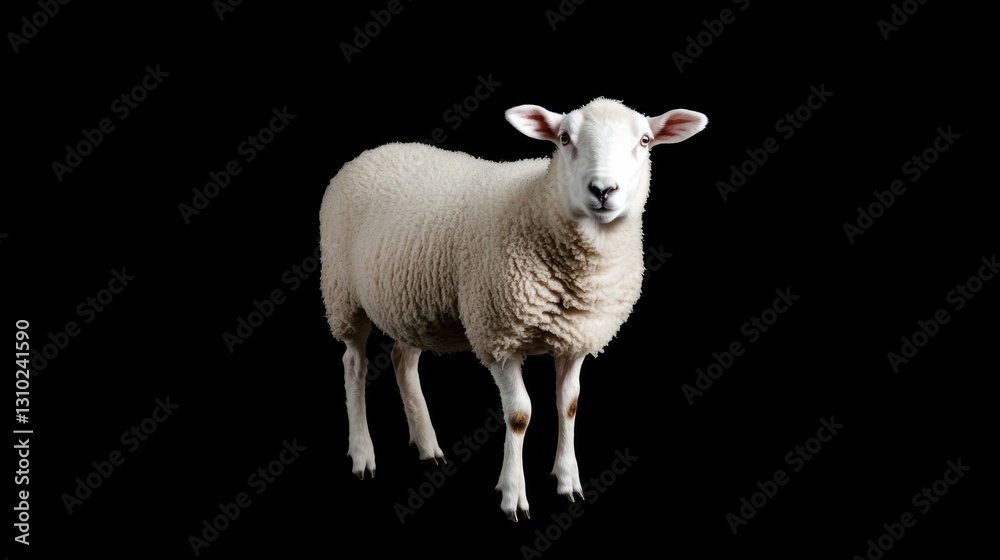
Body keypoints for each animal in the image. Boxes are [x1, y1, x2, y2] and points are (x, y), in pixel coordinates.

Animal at [320, 97, 707, 521]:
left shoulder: (576, 336)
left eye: (645, 140)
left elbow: (569, 405)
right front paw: (512, 494)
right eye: (564, 138)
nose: (603, 190)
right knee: (354, 364)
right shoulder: (499, 338)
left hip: (414, 306)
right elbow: (520, 415)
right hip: (343, 293)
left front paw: (568, 481)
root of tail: (376, 150)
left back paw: (426, 444)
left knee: (402, 359)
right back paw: (362, 453)